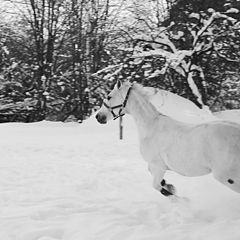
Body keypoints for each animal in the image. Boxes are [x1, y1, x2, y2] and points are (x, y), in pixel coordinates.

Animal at [95, 80, 240, 197]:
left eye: (109, 96)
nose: (98, 116)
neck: (151, 127)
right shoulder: (155, 166)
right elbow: (158, 180)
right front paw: (169, 185)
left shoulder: (158, 166)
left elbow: (158, 187)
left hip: (228, 178)